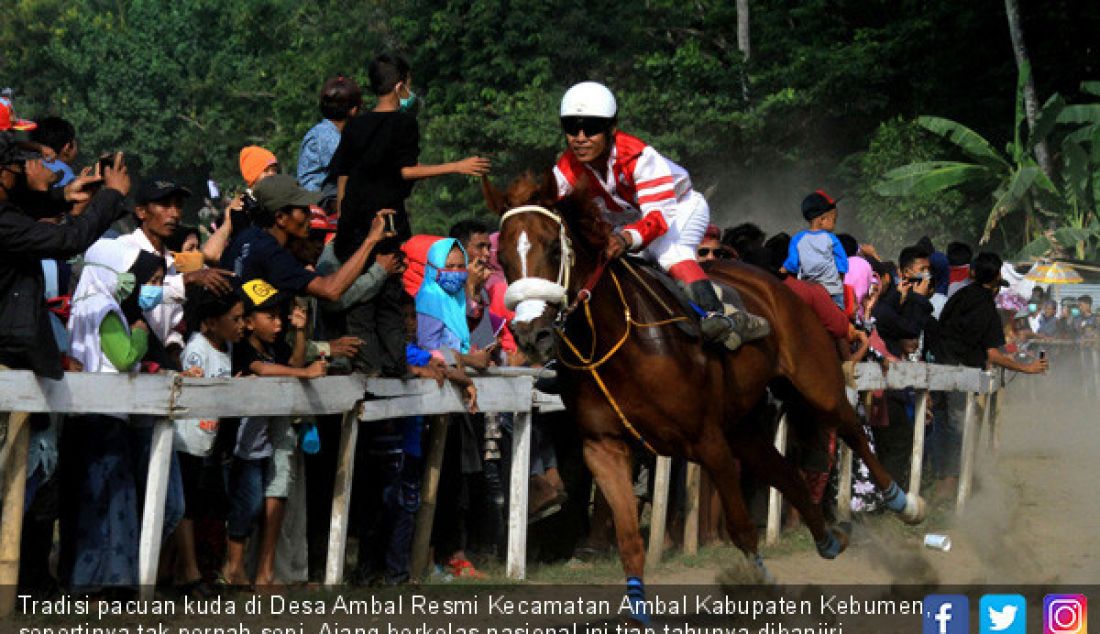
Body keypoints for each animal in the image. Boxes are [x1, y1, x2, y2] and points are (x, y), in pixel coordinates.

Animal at [486, 171, 924, 616]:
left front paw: (760, 585)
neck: (613, 345)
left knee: (851, 429)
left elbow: (741, 528)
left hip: (815, 383)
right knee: (787, 472)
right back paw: (829, 538)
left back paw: (904, 504)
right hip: (742, 426)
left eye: (553, 247)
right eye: (501, 256)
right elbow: (629, 540)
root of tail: (780, 285)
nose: (531, 334)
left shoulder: (707, 440)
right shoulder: (604, 448)